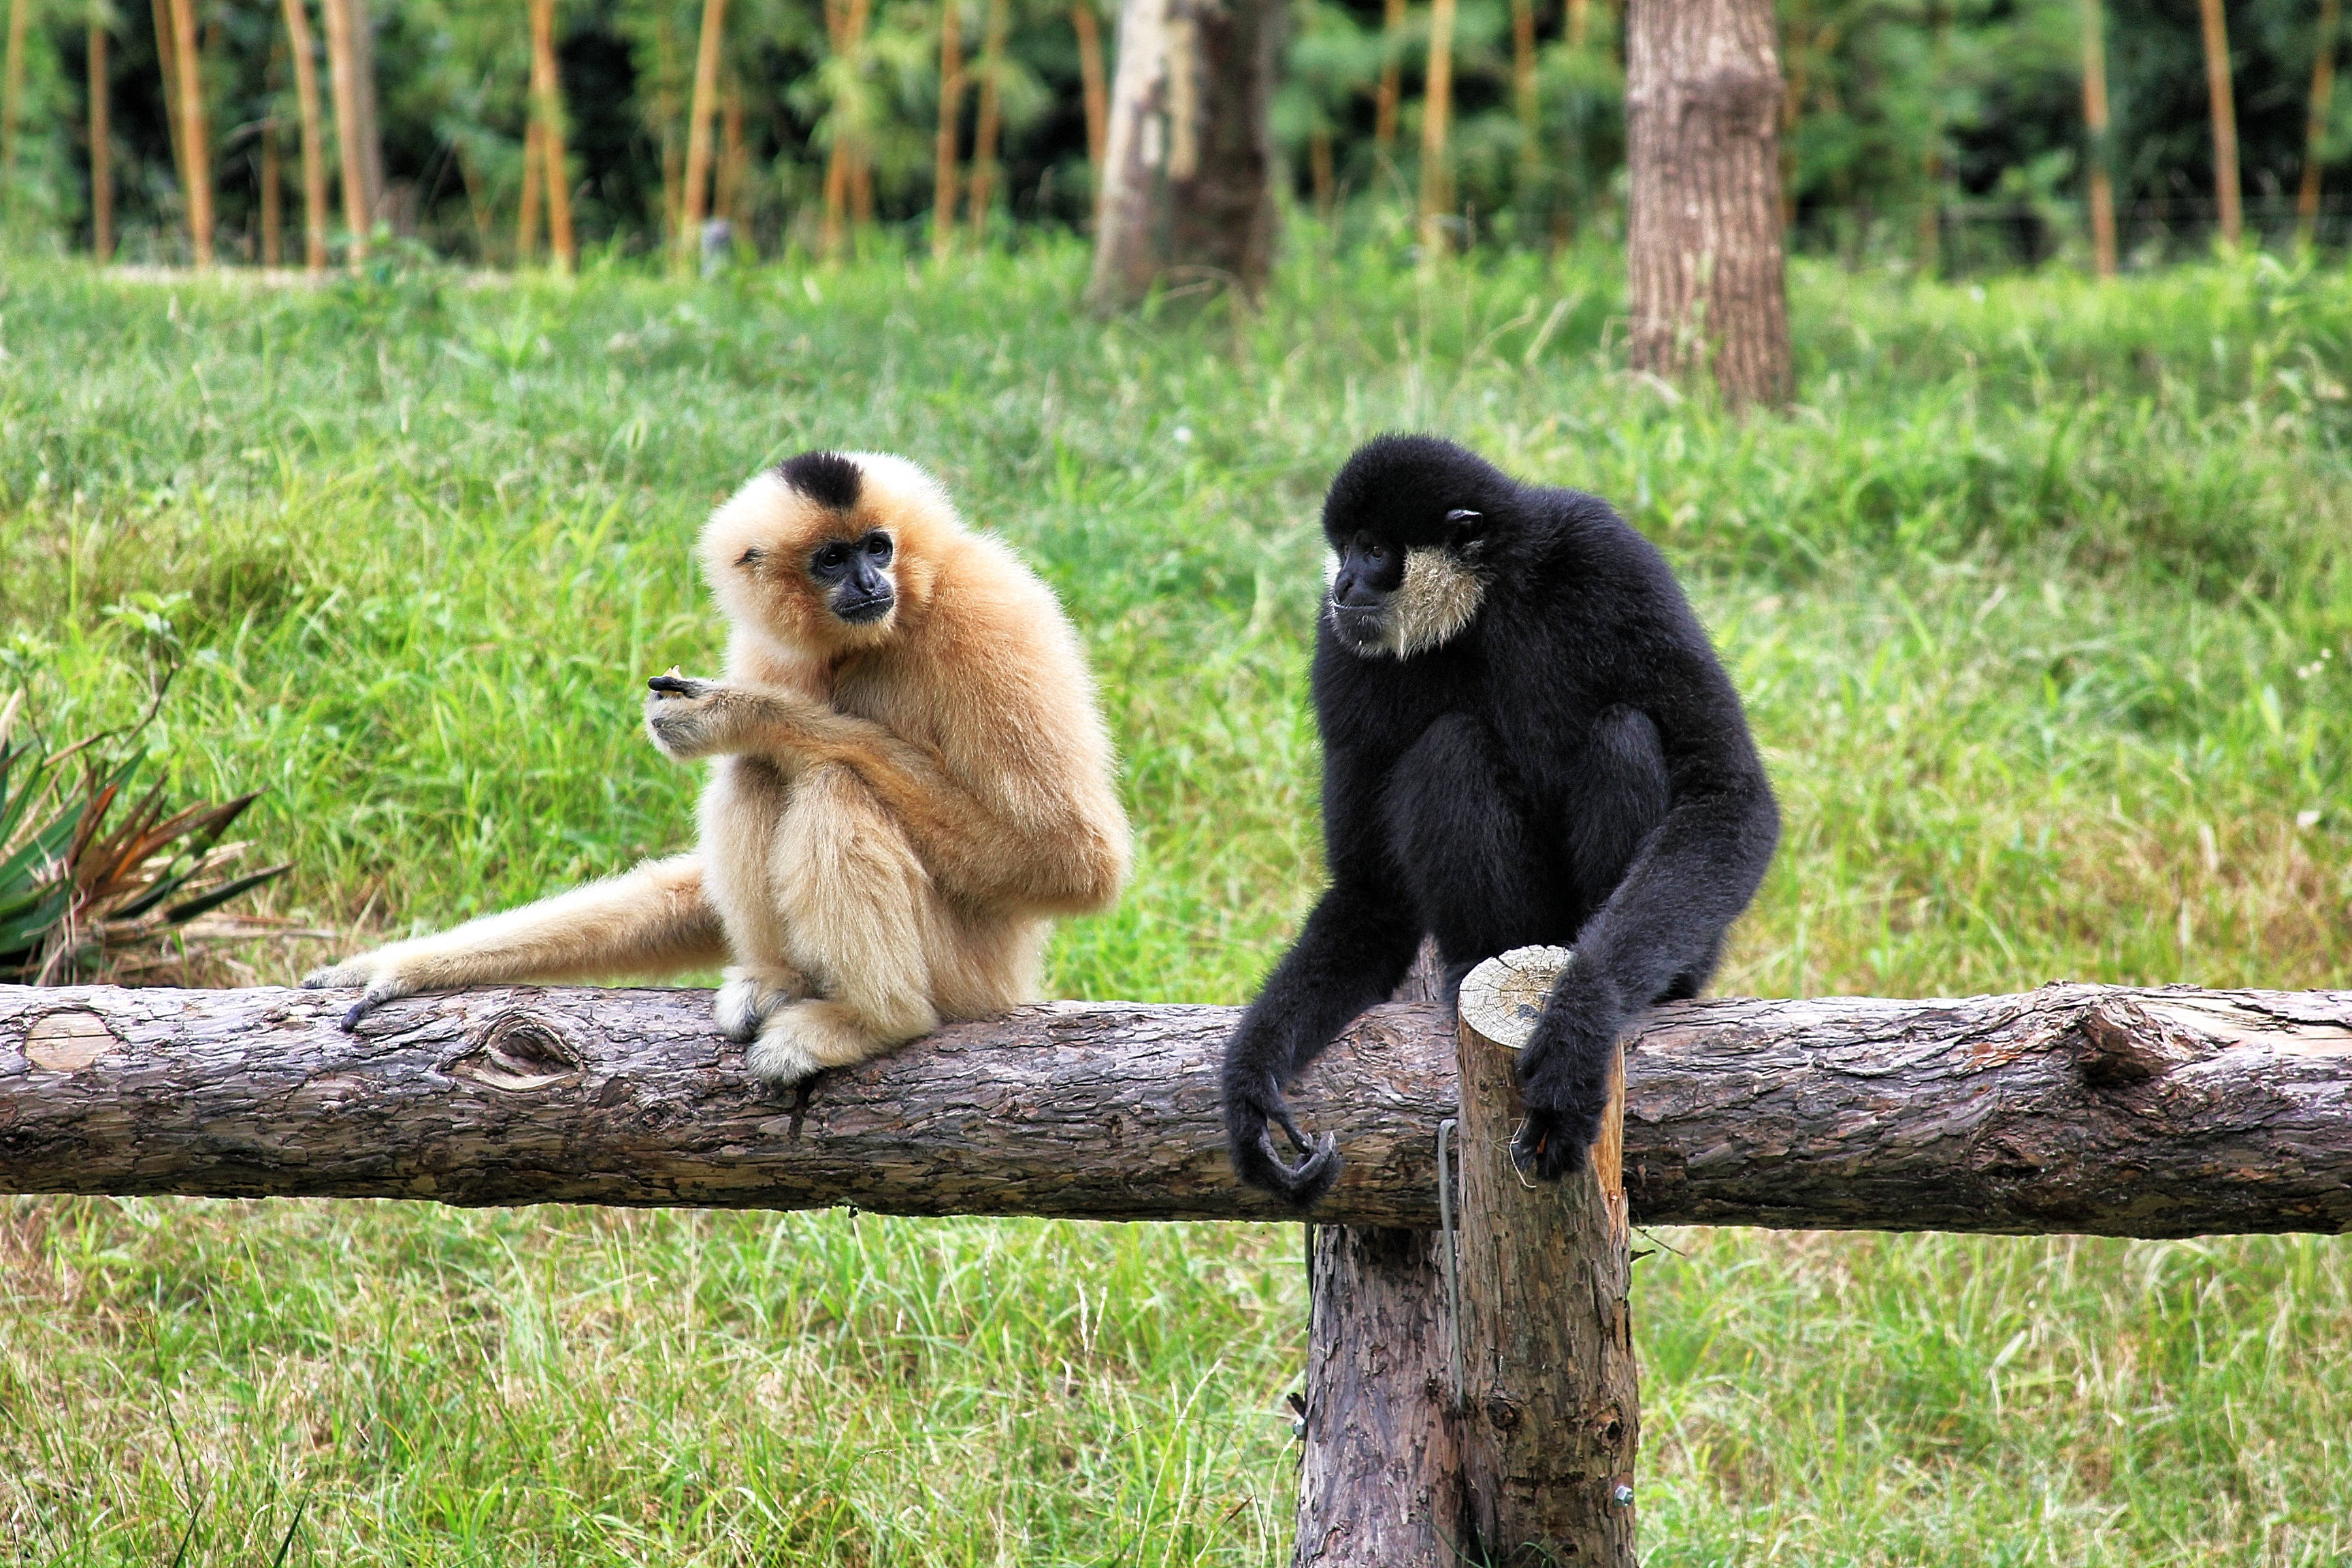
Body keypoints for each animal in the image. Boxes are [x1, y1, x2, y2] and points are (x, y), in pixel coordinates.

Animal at [305, 450, 1132, 1084]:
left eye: (879, 547)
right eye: (832, 558)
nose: (869, 583)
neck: (886, 631)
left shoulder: (992, 615)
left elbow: (1069, 858)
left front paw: (746, 713)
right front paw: (400, 967)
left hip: (971, 975)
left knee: (832, 781)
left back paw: (875, 1020)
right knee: (759, 776)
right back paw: (781, 981)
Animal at [1221, 434, 1779, 1206]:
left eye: (1372, 549)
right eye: (1345, 551)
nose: (1344, 585)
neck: (1485, 606)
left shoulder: (1609, 554)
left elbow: (1728, 794)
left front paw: (1579, 1030)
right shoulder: (1340, 648)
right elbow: (1370, 896)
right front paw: (1253, 1080)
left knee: (1624, 730)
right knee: (1449, 745)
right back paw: (1472, 961)